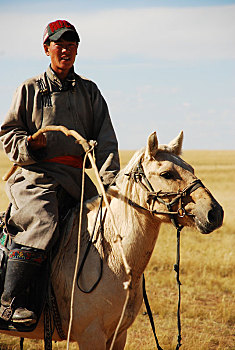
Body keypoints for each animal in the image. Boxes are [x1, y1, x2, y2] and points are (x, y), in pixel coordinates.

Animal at [0, 130, 224, 348]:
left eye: (191, 168)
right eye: (166, 174)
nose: (215, 213)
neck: (113, 257)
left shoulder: (118, 335)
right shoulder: (91, 336)